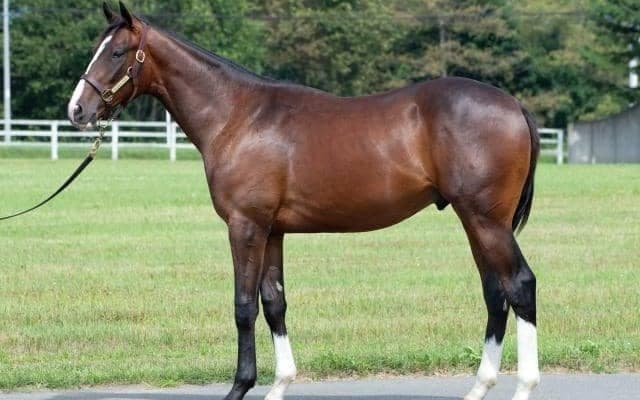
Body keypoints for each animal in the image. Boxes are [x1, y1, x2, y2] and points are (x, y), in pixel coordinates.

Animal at [68, 3, 540, 400]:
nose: (77, 111)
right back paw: (479, 388)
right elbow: (274, 302)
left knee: (519, 285)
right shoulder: (272, 230)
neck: (238, 116)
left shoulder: (245, 226)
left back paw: (524, 386)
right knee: (495, 293)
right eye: (95, 50)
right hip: (474, 220)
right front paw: (279, 385)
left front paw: (239, 387)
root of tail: (514, 105)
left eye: (117, 52)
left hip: (485, 220)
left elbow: (244, 306)